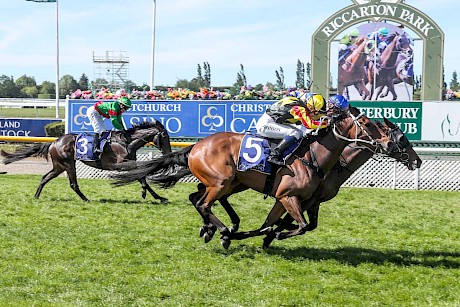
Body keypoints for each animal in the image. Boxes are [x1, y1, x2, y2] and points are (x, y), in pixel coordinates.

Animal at [0, 121, 172, 203]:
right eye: (164, 136)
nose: (168, 152)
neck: (126, 141)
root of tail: (54, 142)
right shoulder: (121, 164)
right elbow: (141, 176)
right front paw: (152, 195)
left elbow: (141, 176)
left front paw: (157, 196)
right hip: (68, 163)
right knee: (73, 184)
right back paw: (86, 199)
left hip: (59, 166)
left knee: (45, 178)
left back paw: (36, 196)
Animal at [111, 107, 392, 249]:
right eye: (369, 124)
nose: (389, 143)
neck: (313, 157)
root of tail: (197, 146)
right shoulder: (288, 196)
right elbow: (299, 226)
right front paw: (274, 235)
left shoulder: (290, 199)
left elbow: (281, 224)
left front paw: (269, 234)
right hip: (221, 182)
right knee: (204, 203)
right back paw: (223, 231)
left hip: (230, 183)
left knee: (197, 198)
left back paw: (213, 229)